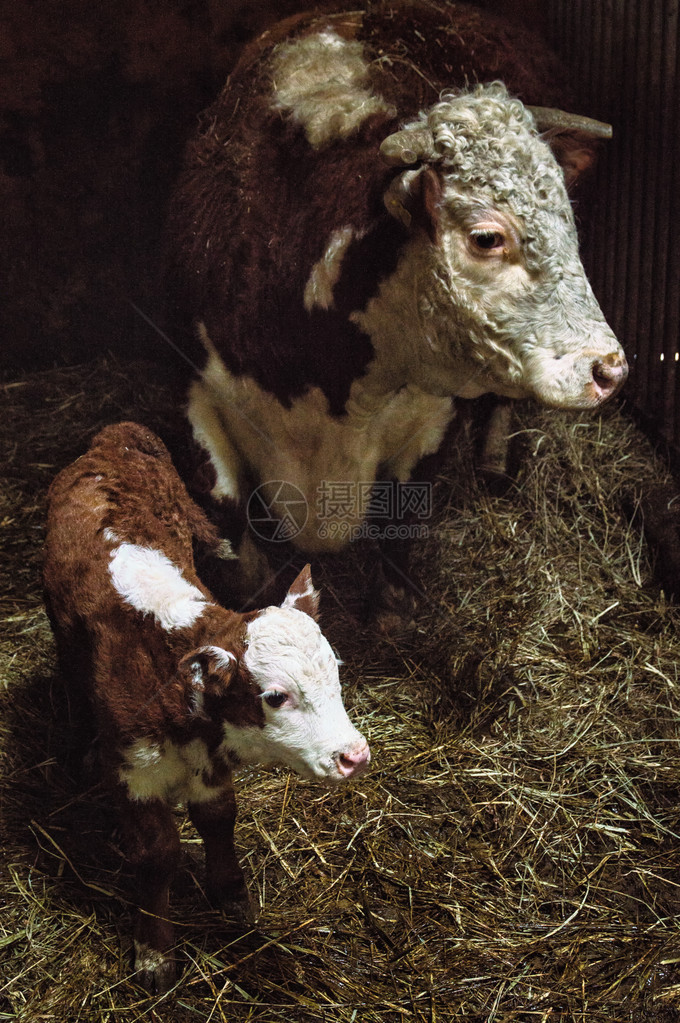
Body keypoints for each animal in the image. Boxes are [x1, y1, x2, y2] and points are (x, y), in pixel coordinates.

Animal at [42, 421, 368, 990]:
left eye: (337, 670)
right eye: (275, 696)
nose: (355, 756)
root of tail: (115, 437)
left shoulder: (210, 767)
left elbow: (219, 818)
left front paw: (232, 893)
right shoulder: (133, 770)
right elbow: (158, 854)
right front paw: (154, 952)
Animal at [165, 1, 625, 621]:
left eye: (568, 224)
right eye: (487, 237)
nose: (610, 368)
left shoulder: (437, 412)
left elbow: (407, 508)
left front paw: (392, 609)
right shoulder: (193, 385)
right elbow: (227, 513)